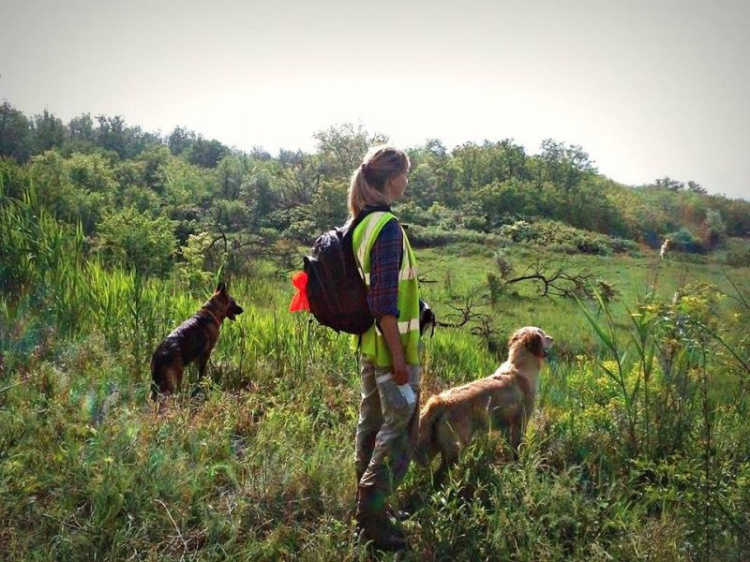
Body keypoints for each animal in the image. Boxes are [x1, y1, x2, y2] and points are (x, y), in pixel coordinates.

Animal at [414, 326, 556, 480]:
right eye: (542, 335)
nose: (552, 338)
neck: (519, 365)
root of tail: (442, 400)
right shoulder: (521, 421)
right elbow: (517, 446)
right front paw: (518, 464)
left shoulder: (507, 425)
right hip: (455, 447)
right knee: (441, 473)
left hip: (433, 444)